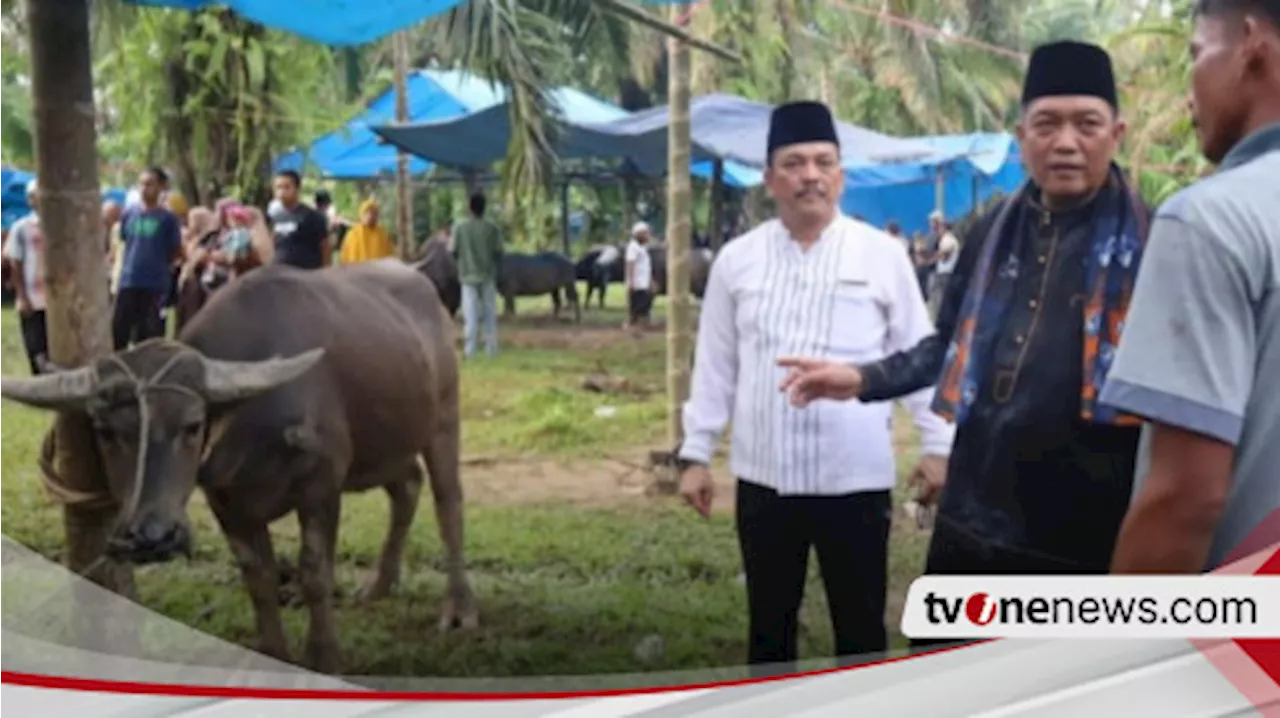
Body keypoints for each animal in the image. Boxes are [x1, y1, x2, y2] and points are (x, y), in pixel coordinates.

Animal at [0, 259, 478, 670]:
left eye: (193, 426)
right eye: (104, 430)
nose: (152, 537)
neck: (250, 426)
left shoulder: (321, 485)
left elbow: (314, 573)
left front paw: (323, 657)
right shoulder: (225, 501)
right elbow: (258, 578)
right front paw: (272, 656)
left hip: (443, 419)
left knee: (447, 501)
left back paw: (459, 608)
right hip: (386, 445)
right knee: (408, 485)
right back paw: (379, 584)